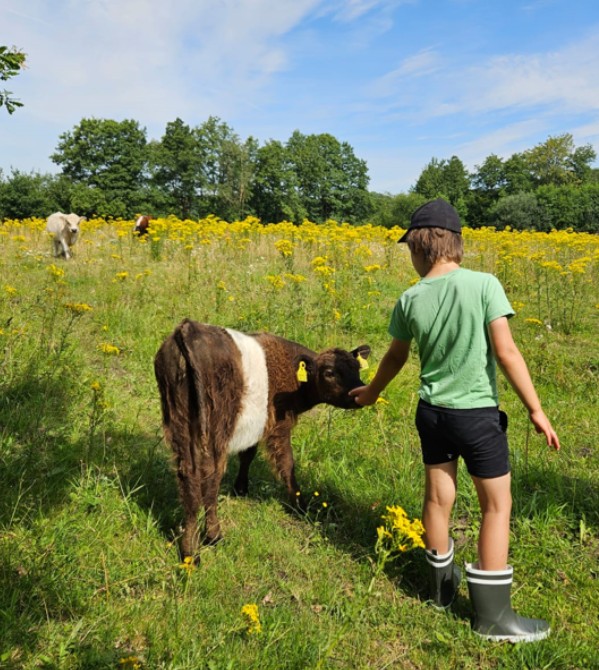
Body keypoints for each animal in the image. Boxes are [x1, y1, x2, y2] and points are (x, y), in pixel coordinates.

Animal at [155, 318, 370, 560]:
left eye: (356, 368)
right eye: (330, 372)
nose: (358, 393)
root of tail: (189, 328)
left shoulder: (256, 425)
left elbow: (248, 455)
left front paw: (241, 489)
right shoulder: (279, 424)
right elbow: (286, 464)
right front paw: (300, 506)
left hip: (179, 418)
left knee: (188, 475)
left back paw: (189, 551)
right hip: (216, 425)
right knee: (211, 475)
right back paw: (212, 536)